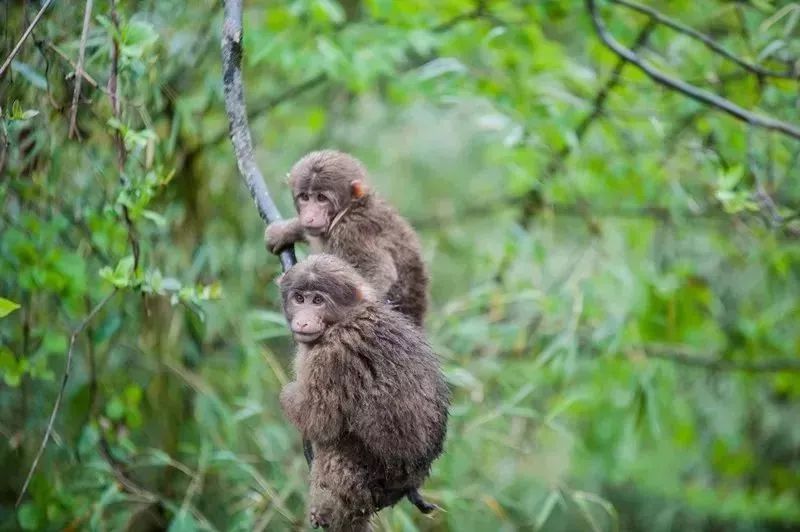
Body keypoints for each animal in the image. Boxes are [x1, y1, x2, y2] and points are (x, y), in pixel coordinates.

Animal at [266, 148, 428, 326]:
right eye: (305, 197)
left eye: (321, 198)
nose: (309, 216)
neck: (348, 211)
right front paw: (284, 230)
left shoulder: (352, 232)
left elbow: (380, 273)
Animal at [278, 255, 446, 528]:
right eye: (299, 298)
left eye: (318, 301)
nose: (303, 320)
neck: (346, 317)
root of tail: (411, 481)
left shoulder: (331, 356)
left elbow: (319, 419)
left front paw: (288, 395)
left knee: (335, 447)